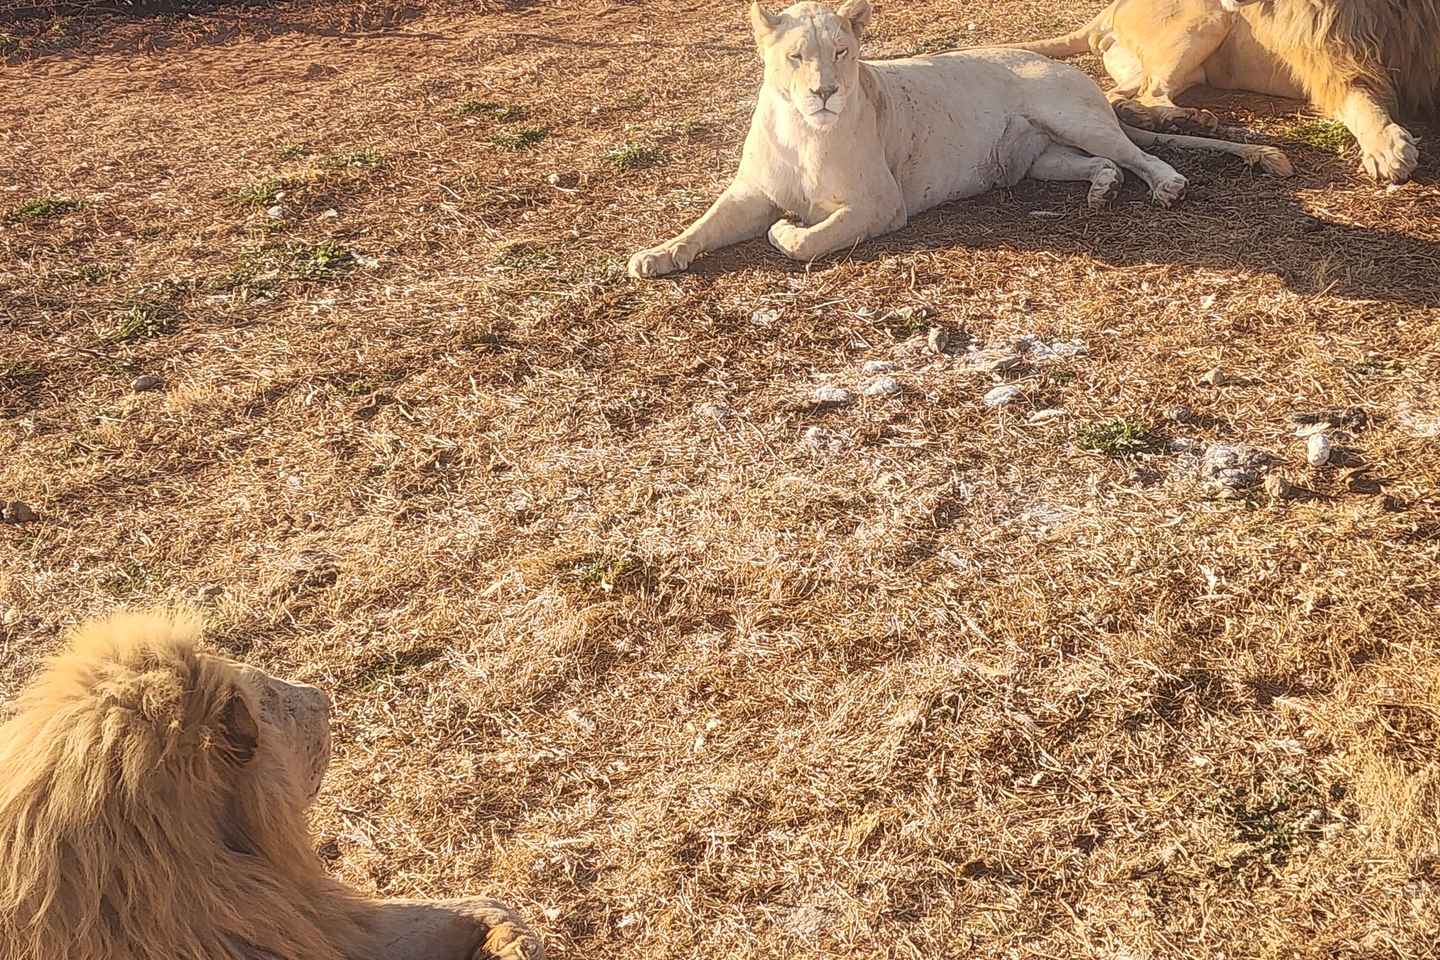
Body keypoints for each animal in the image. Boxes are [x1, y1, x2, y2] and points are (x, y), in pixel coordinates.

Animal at [627, 0, 1290, 278]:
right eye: (796, 57)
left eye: (841, 52)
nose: (825, 92)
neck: (803, 128)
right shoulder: (751, 193)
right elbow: (702, 225)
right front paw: (655, 255)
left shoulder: (879, 205)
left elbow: (803, 242)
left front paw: (789, 231)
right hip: (1041, 158)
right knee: (1103, 163)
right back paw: (1102, 192)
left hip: (1074, 116)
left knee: (1139, 152)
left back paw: (1168, 186)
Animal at [1008, 0, 1438, 183]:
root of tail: (1109, 7)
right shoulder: (1336, 67)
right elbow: (1363, 105)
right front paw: (1387, 147)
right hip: (1204, 20)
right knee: (1143, 94)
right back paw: (1189, 120)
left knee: (1122, 95)